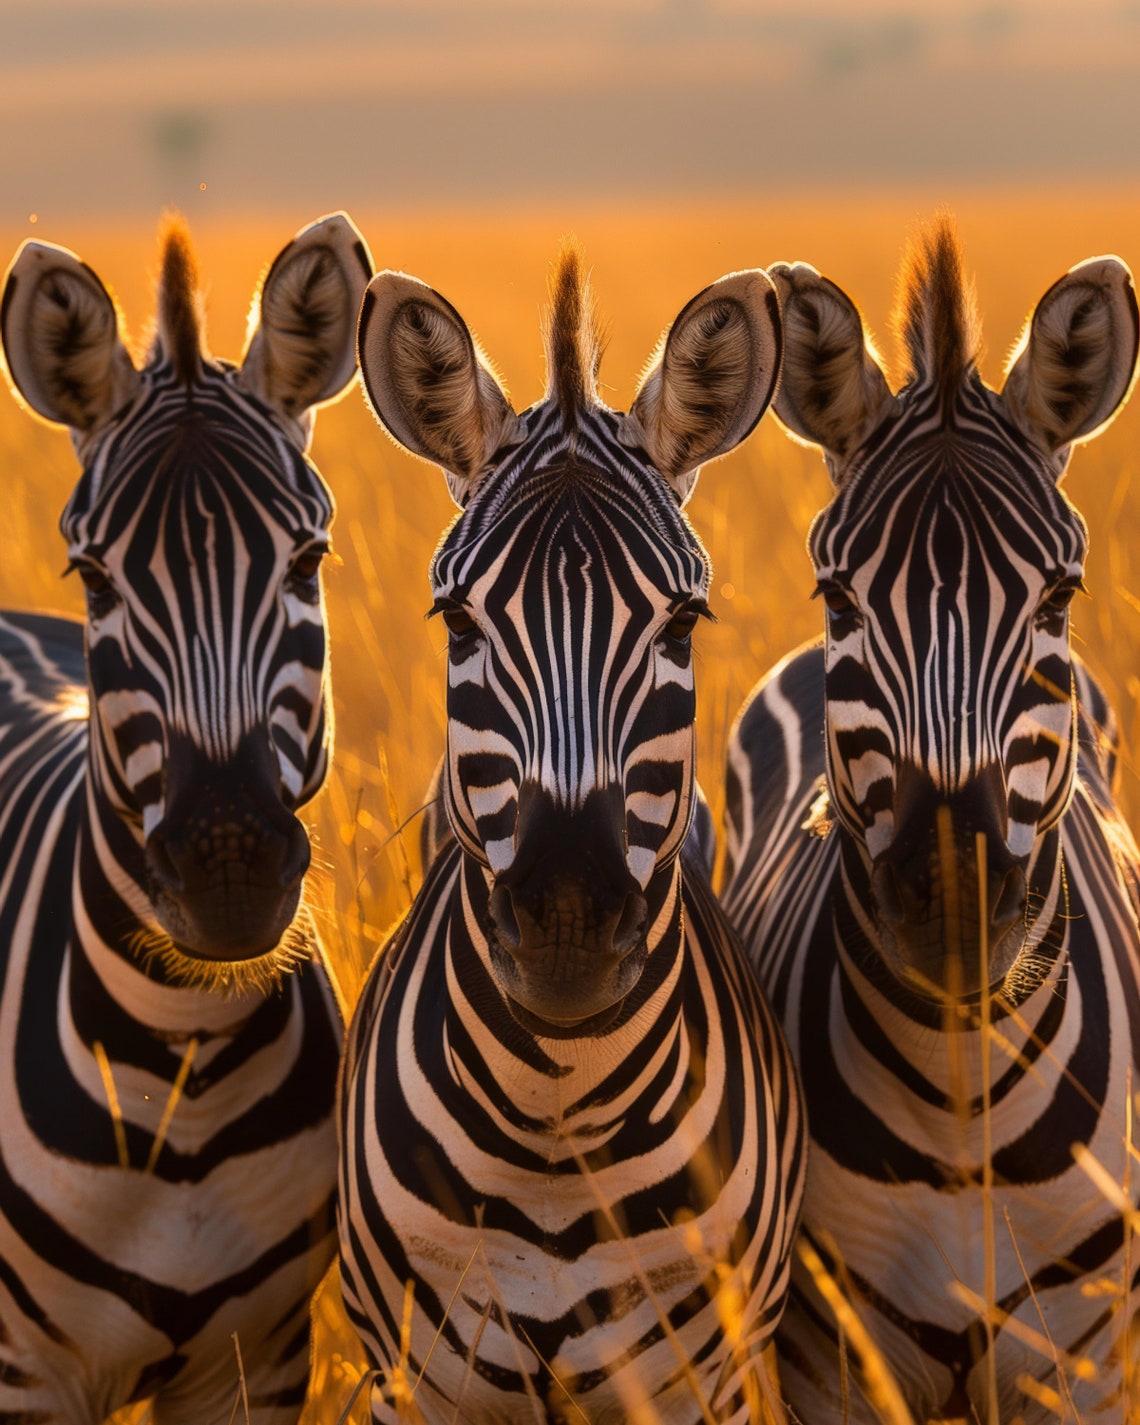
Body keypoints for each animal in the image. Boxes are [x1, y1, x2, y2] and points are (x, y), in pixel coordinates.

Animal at [0, 212, 371, 1424]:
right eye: (94, 574)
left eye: (308, 558)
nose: (229, 868)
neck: (184, 1065)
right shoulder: (24, 1377)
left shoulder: (260, 1360)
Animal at [337, 246, 806, 1424]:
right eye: (457, 621)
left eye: (683, 622)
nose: (565, 928)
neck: (556, 1121)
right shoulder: (410, 1379)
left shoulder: (703, 1378)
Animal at [721, 218, 1140, 1423]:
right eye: (840, 597)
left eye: (1059, 597)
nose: (953, 906)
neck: (964, 1102)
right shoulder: (832, 1361)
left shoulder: (1081, 1364)